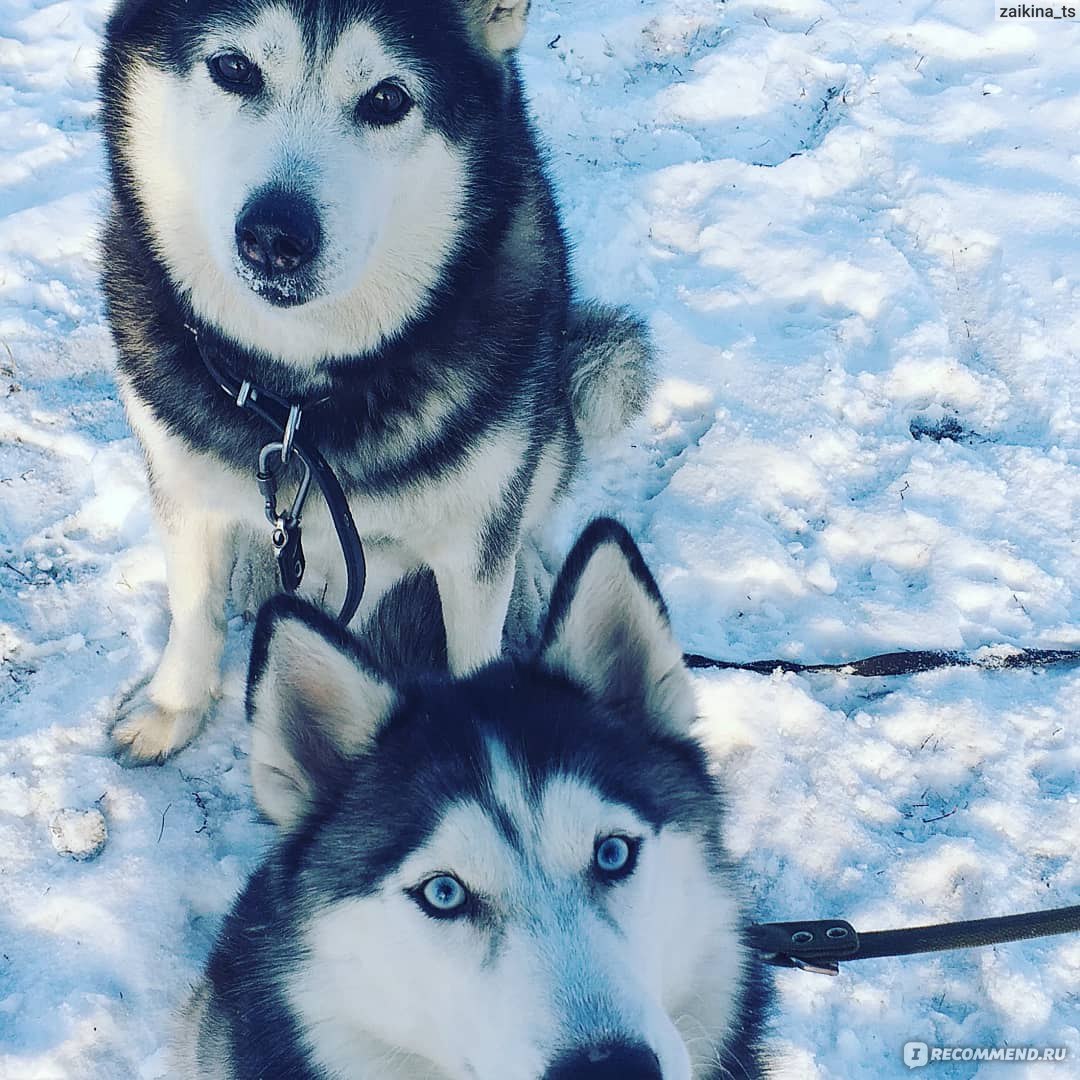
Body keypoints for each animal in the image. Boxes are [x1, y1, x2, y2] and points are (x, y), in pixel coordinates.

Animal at [97, 0, 652, 764]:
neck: (300, 397)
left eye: (387, 98)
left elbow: (478, 629)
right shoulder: (178, 472)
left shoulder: (474, 540)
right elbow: (193, 608)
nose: (274, 237)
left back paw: (532, 579)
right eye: (233, 67)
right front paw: (171, 711)